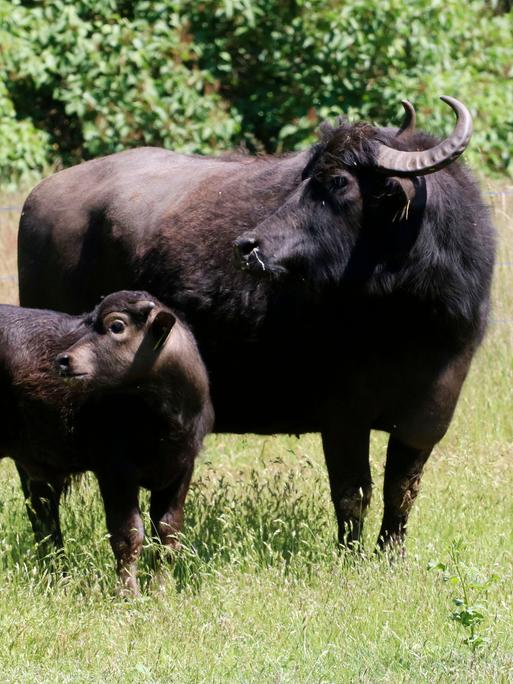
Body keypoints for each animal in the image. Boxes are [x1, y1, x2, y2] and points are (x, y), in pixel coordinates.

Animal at [0, 288, 212, 592]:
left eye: (116, 326)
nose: (64, 360)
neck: (166, 420)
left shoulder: (181, 468)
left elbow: (168, 533)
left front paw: (161, 589)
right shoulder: (115, 471)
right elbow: (128, 535)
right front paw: (128, 592)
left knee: (44, 518)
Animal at [18, 97, 494, 552]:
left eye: (339, 182)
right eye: (305, 177)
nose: (249, 245)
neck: (403, 318)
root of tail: (39, 197)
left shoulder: (429, 414)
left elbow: (402, 490)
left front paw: (389, 554)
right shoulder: (342, 414)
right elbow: (352, 493)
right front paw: (351, 556)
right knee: (39, 485)